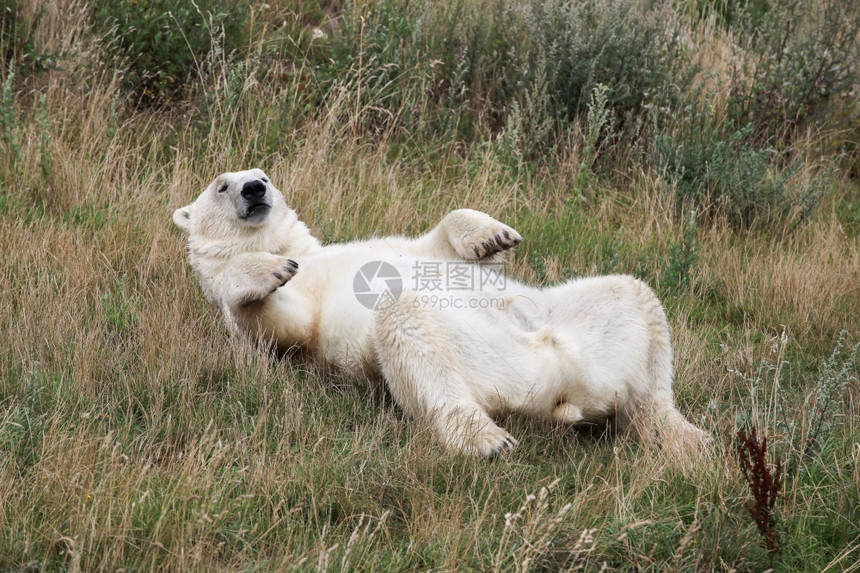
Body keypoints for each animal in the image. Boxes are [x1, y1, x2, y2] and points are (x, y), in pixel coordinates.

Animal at [171, 168, 708, 458]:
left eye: (265, 175)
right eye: (222, 186)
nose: (255, 189)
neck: (294, 247)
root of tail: (568, 390)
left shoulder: (389, 247)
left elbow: (442, 246)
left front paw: (492, 236)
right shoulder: (302, 321)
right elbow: (277, 325)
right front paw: (268, 270)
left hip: (578, 321)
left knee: (634, 296)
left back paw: (684, 435)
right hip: (495, 365)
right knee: (408, 325)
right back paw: (486, 439)